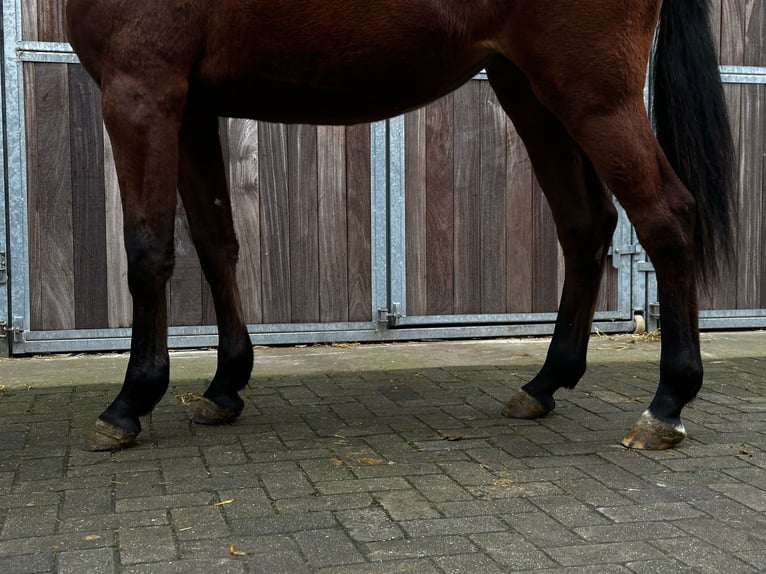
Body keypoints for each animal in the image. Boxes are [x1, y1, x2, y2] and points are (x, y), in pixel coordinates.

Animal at [66, 0, 736, 452]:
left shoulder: (141, 89)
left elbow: (148, 251)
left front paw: (128, 403)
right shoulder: (192, 105)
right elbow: (216, 243)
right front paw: (225, 385)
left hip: (593, 92)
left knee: (667, 217)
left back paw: (665, 406)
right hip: (528, 88)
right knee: (585, 225)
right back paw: (545, 382)